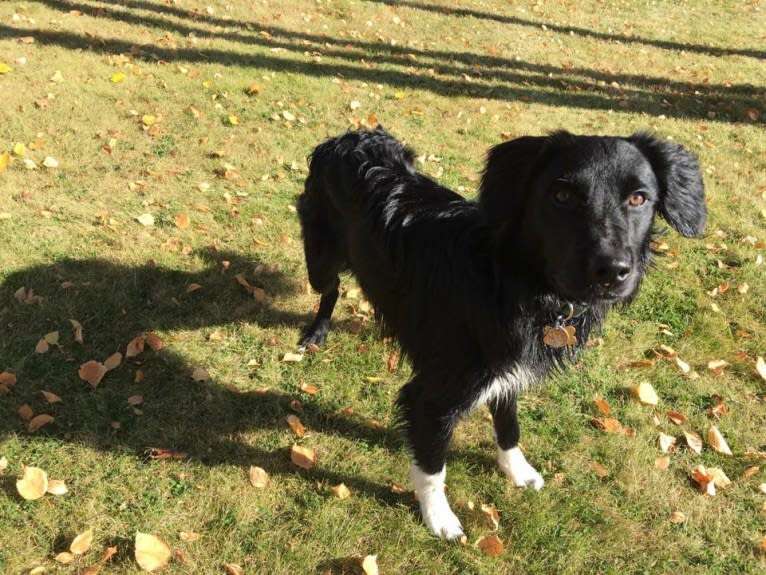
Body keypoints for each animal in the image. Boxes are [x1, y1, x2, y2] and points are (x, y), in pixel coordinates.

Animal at [296, 126, 704, 540]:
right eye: (561, 195)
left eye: (639, 198)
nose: (611, 272)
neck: (510, 281)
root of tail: (349, 136)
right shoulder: (431, 395)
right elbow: (432, 466)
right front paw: (439, 517)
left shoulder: (507, 370)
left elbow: (508, 423)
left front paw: (517, 470)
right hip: (320, 259)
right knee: (331, 291)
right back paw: (316, 333)